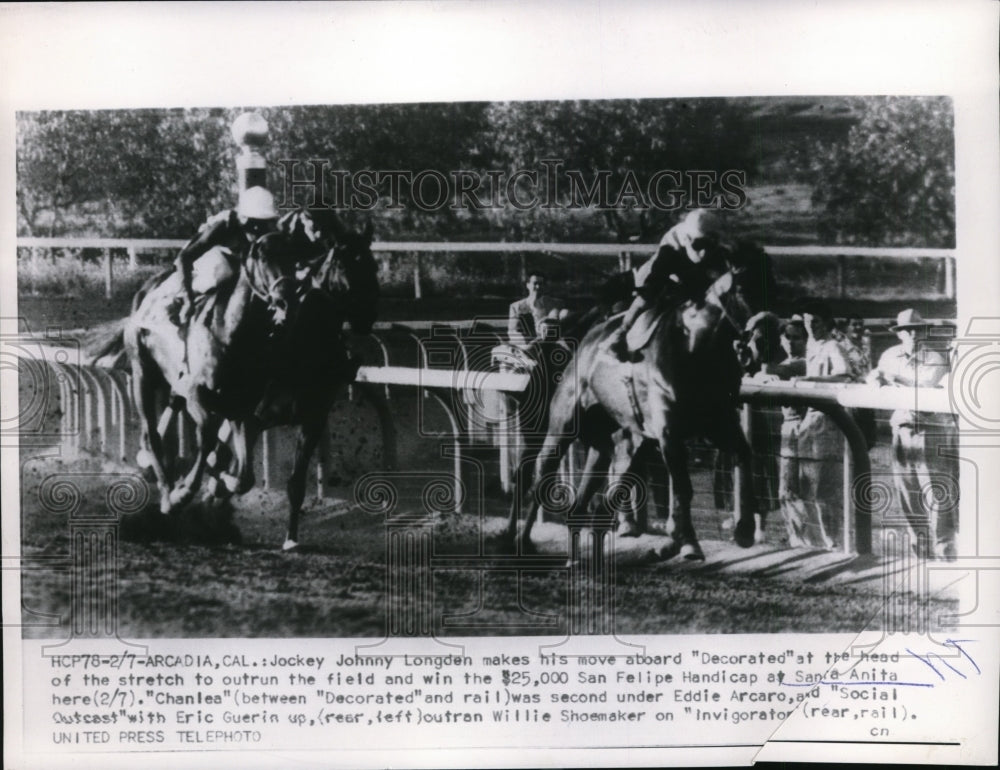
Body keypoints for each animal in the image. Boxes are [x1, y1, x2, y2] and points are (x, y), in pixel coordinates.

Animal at [123, 228, 300, 516]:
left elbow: (244, 476)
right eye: (262, 257)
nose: (287, 300)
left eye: (294, 258)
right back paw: (166, 492)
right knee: (151, 434)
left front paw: (223, 480)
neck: (231, 333)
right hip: (142, 374)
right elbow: (205, 436)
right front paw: (182, 492)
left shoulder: (241, 404)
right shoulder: (196, 394)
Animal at [508, 244, 772, 560]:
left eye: (772, 285)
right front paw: (687, 541)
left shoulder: (717, 423)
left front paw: (744, 530)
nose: (765, 342)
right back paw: (521, 541)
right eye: (743, 288)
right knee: (540, 476)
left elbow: (744, 453)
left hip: (610, 443)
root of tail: (585, 342)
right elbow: (683, 487)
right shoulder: (668, 432)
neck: (695, 349)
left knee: (588, 501)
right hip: (563, 424)